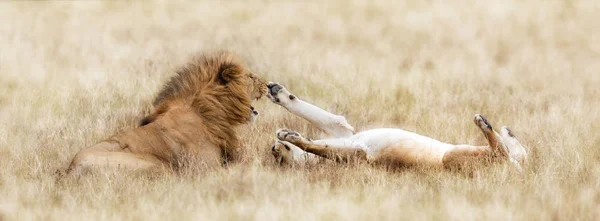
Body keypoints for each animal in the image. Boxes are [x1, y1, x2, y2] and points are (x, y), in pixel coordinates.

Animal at [66, 51, 270, 174]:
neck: (209, 112)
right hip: (158, 166)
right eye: (251, 77)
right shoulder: (204, 167)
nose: (269, 85)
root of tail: (70, 168)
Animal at [264, 83, 528, 173]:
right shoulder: (358, 151)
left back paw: (497, 127)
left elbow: (314, 114)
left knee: (512, 151)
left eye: (280, 156)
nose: (274, 149)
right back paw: (486, 124)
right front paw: (292, 136)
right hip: (451, 158)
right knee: (501, 153)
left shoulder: (344, 132)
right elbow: (317, 145)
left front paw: (278, 93)